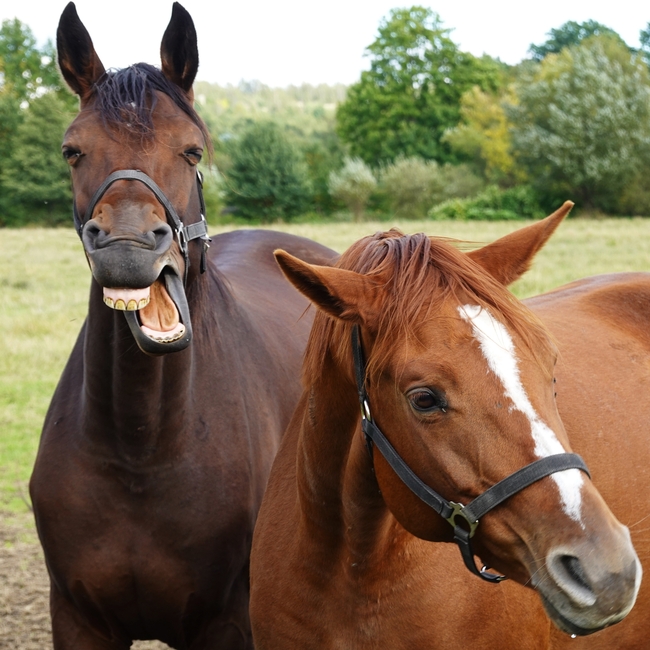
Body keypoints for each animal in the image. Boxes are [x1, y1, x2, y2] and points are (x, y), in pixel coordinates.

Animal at [29, 3, 335, 648]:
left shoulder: (227, 623)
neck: (140, 447)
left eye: (192, 151)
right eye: (72, 151)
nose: (125, 248)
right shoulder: (77, 617)